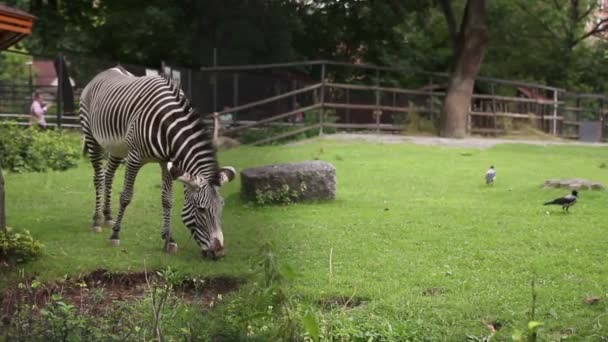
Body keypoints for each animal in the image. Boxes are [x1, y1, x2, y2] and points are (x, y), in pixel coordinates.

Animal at [78, 66, 235, 260]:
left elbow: (167, 200)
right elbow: (126, 196)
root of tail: (107, 71)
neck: (167, 123)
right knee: (99, 178)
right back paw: (97, 221)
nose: (219, 253)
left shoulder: (166, 162)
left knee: (108, 175)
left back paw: (108, 217)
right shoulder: (134, 158)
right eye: (201, 210)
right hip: (92, 137)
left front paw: (169, 239)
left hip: (116, 147)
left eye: (222, 206)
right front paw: (115, 235)